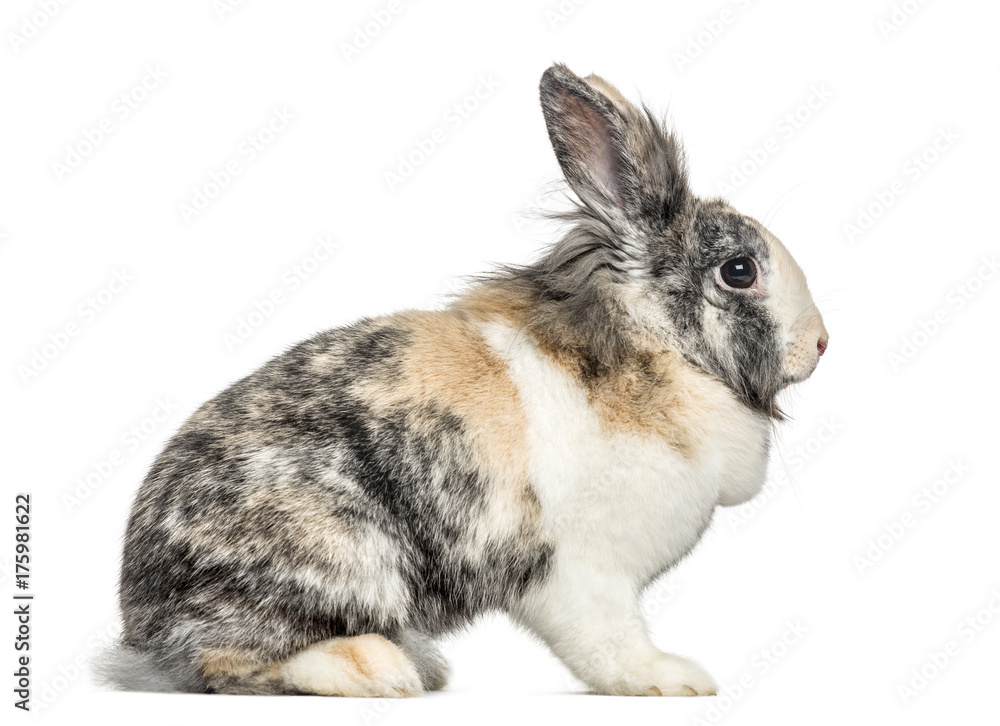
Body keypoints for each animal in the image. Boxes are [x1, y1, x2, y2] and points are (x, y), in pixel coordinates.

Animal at [96, 63, 828, 698]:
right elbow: (610, 642)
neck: (652, 348)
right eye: (739, 271)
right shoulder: (582, 572)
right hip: (340, 555)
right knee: (228, 659)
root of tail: (141, 619)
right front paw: (673, 680)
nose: (821, 344)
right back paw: (377, 670)